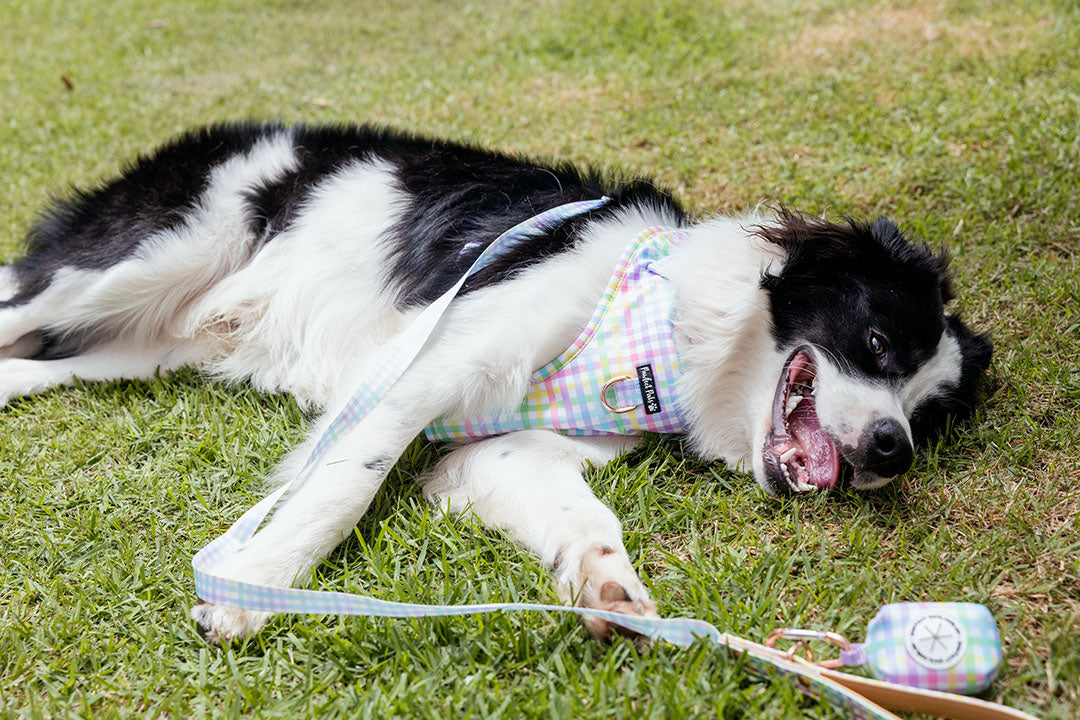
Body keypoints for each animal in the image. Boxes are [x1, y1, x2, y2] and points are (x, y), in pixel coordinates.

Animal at [2, 122, 993, 643]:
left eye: (930, 415)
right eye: (875, 341)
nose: (892, 453)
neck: (663, 320)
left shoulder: (505, 452)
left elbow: (582, 516)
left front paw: (612, 595)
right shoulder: (424, 371)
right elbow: (340, 492)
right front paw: (255, 591)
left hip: (144, 346)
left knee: (30, 362)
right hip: (134, 264)